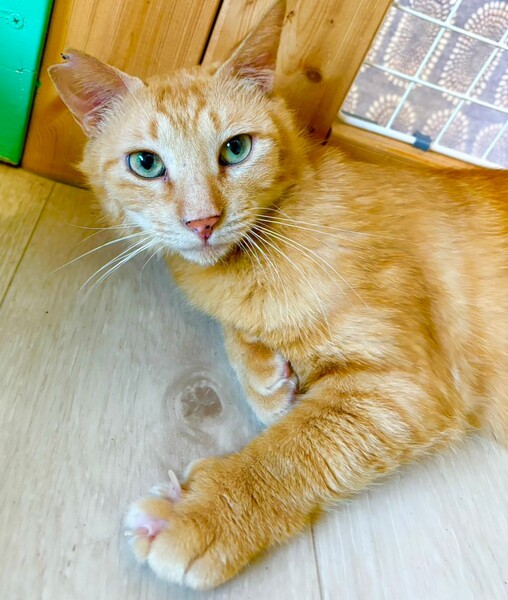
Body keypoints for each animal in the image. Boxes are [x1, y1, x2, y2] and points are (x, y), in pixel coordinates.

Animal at [49, 0, 508, 590]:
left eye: (236, 149)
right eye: (146, 164)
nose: (202, 222)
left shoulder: (405, 386)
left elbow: (293, 451)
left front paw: (204, 513)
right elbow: (241, 334)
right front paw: (267, 380)